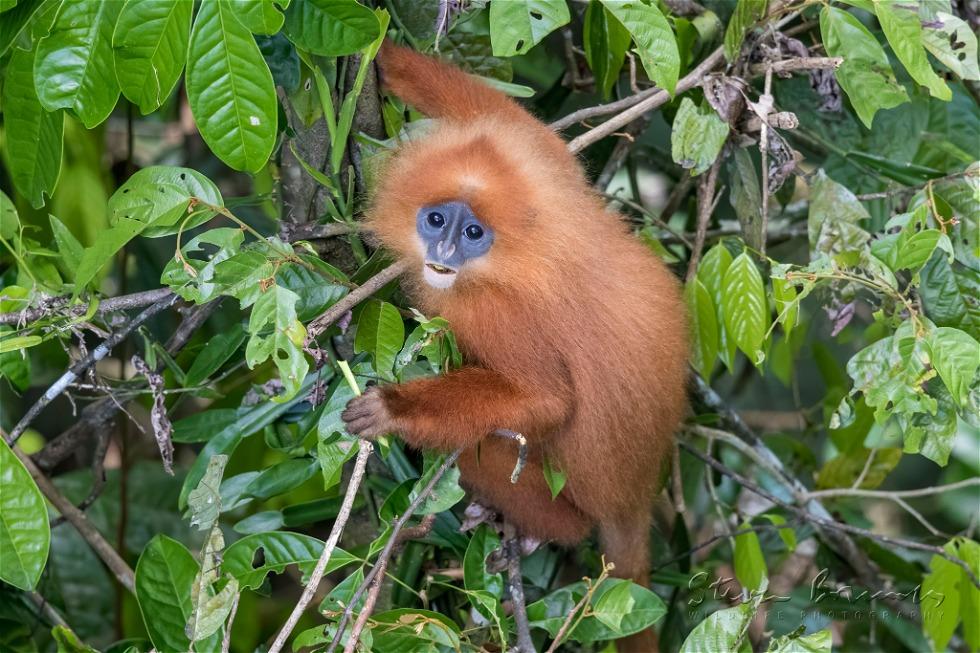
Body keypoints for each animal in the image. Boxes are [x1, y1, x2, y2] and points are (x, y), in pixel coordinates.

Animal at [341, 42, 688, 653]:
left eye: (473, 234)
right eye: (436, 219)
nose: (444, 252)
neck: (518, 247)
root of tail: (635, 498)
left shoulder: (493, 311)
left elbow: (549, 399)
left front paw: (392, 408)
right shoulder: (546, 172)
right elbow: (517, 122)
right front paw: (382, 55)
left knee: (478, 450)